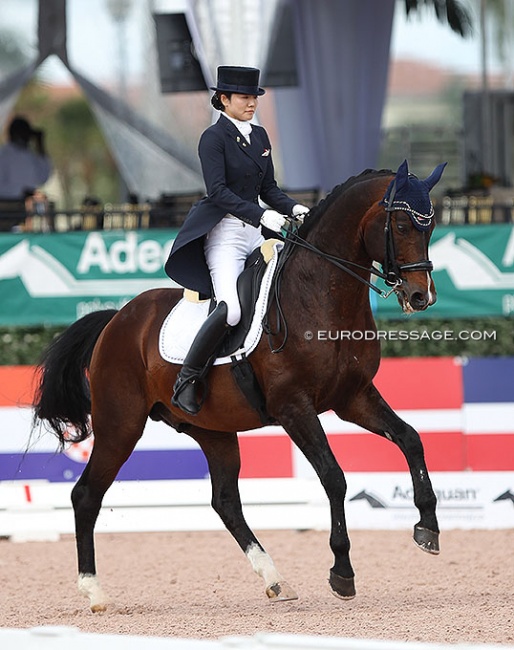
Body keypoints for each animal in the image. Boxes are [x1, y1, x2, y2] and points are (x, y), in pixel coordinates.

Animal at [32, 159, 442, 612]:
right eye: (402, 225)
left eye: (430, 225)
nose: (421, 297)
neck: (320, 294)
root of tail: (117, 319)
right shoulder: (294, 408)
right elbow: (334, 477)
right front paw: (342, 572)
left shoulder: (353, 398)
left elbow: (411, 438)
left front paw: (427, 528)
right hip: (120, 426)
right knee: (87, 495)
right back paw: (94, 592)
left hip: (213, 430)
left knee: (225, 501)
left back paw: (275, 579)